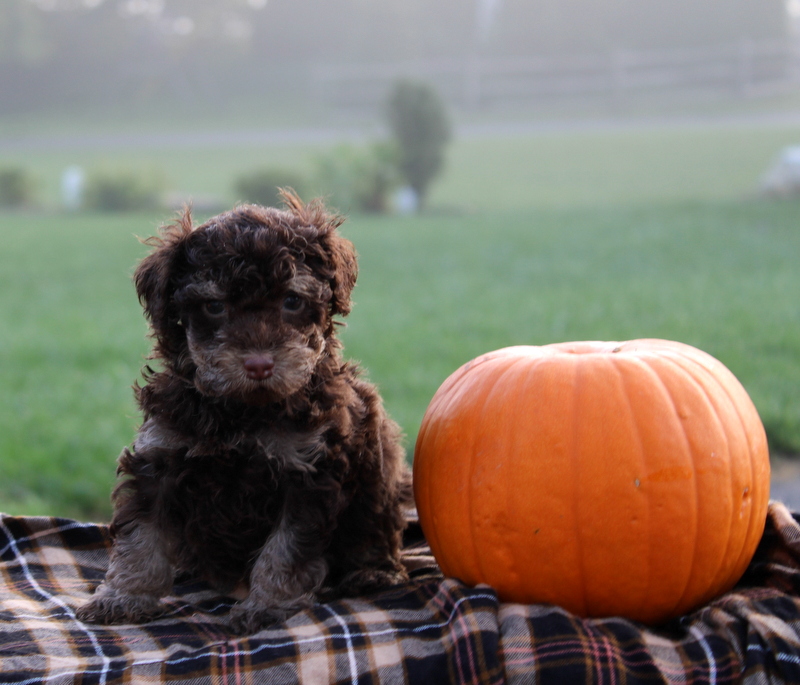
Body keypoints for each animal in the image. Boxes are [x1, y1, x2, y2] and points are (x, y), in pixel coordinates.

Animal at [76, 191, 410, 632]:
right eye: (215, 306)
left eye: (292, 300)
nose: (259, 365)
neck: (242, 412)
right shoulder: (160, 455)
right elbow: (141, 535)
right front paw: (123, 596)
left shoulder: (307, 470)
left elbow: (285, 549)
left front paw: (267, 604)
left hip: (380, 467)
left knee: (376, 526)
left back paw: (372, 570)